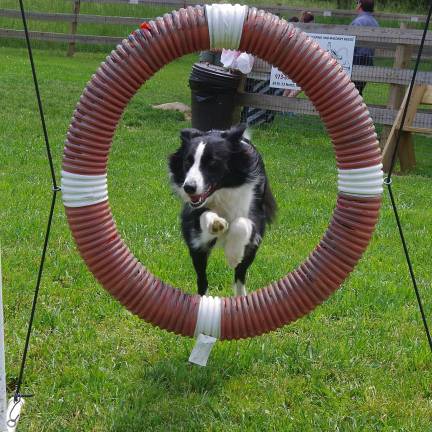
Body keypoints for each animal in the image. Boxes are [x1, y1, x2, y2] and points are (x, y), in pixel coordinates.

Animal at [167, 123, 276, 296]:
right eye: (187, 162)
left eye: (212, 162)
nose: (189, 187)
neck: (223, 190)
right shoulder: (191, 217)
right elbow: (203, 215)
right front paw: (216, 224)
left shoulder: (256, 214)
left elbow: (242, 222)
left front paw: (233, 255)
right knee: (202, 278)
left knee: (240, 274)